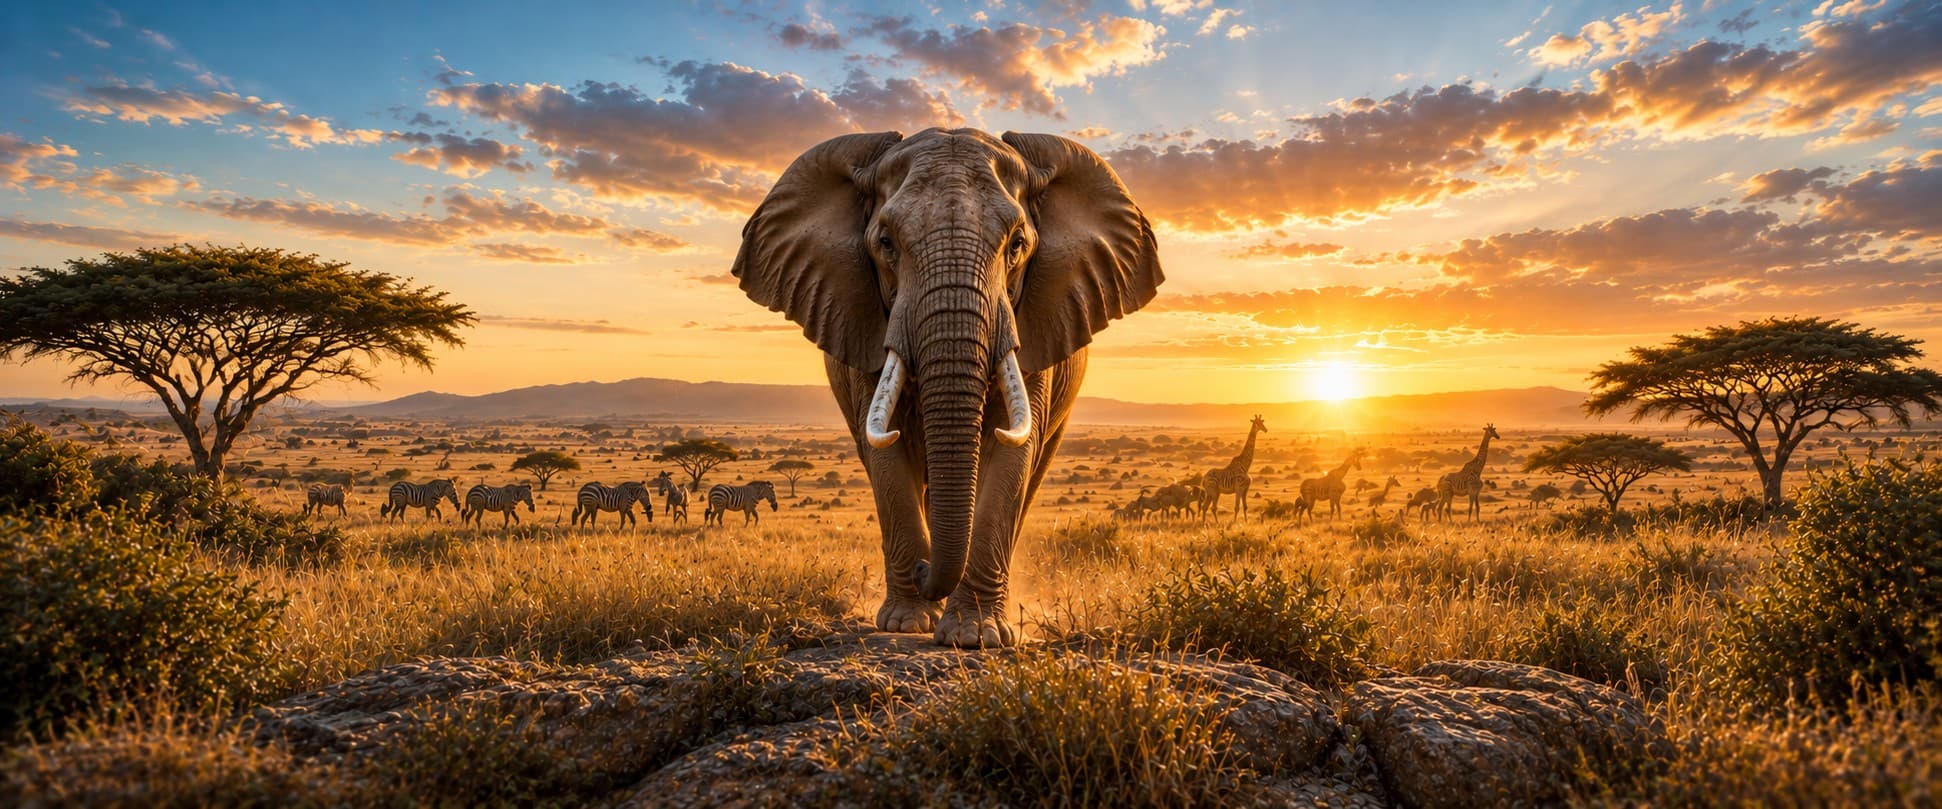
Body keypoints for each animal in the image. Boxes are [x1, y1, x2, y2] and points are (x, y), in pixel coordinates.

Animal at [733, 128, 1163, 647]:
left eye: (1017, 245)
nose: (923, 570)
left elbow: (1013, 451)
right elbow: (885, 451)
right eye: (886, 243)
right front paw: (907, 623)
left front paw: (974, 636)